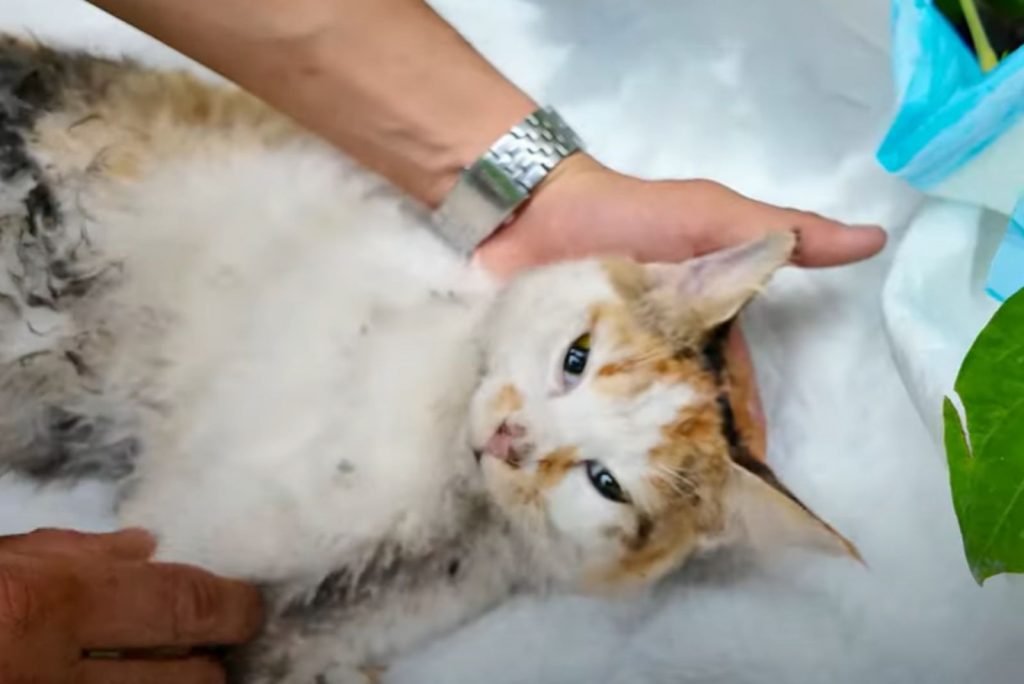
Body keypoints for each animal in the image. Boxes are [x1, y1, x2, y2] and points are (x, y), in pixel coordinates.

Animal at [0, 37, 860, 684]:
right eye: (576, 357)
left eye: (605, 483)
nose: (512, 439)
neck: (462, 519)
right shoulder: (195, 529)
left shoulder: (342, 624)